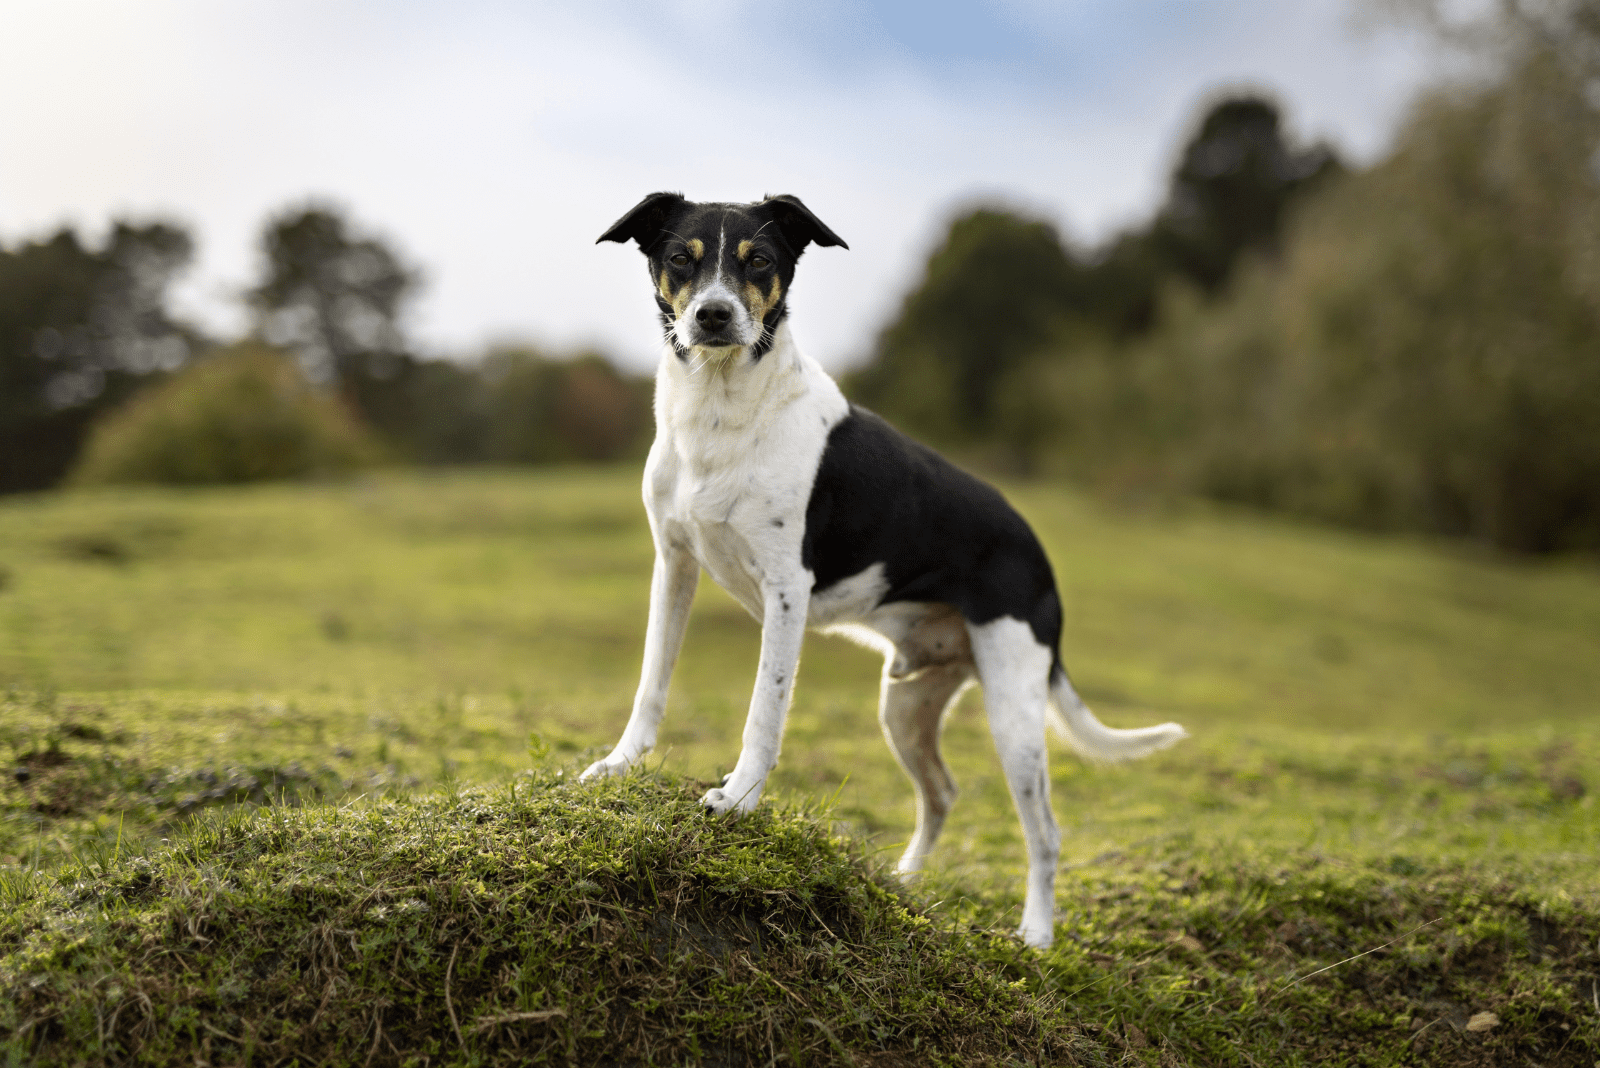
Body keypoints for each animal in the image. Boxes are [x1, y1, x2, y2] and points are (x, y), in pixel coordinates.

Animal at [582, 191, 1184, 940]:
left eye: (760, 260)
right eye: (679, 259)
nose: (713, 315)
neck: (721, 414)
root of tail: (1038, 555)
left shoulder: (786, 592)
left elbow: (764, 710)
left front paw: (739, 798)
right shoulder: (675, 566)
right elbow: (651, 685)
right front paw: (620, 765)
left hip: (1015, 710)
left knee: (1044, 830)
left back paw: (1036, 937)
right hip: (906, 705)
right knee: (944, 792)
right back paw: (905, 881)